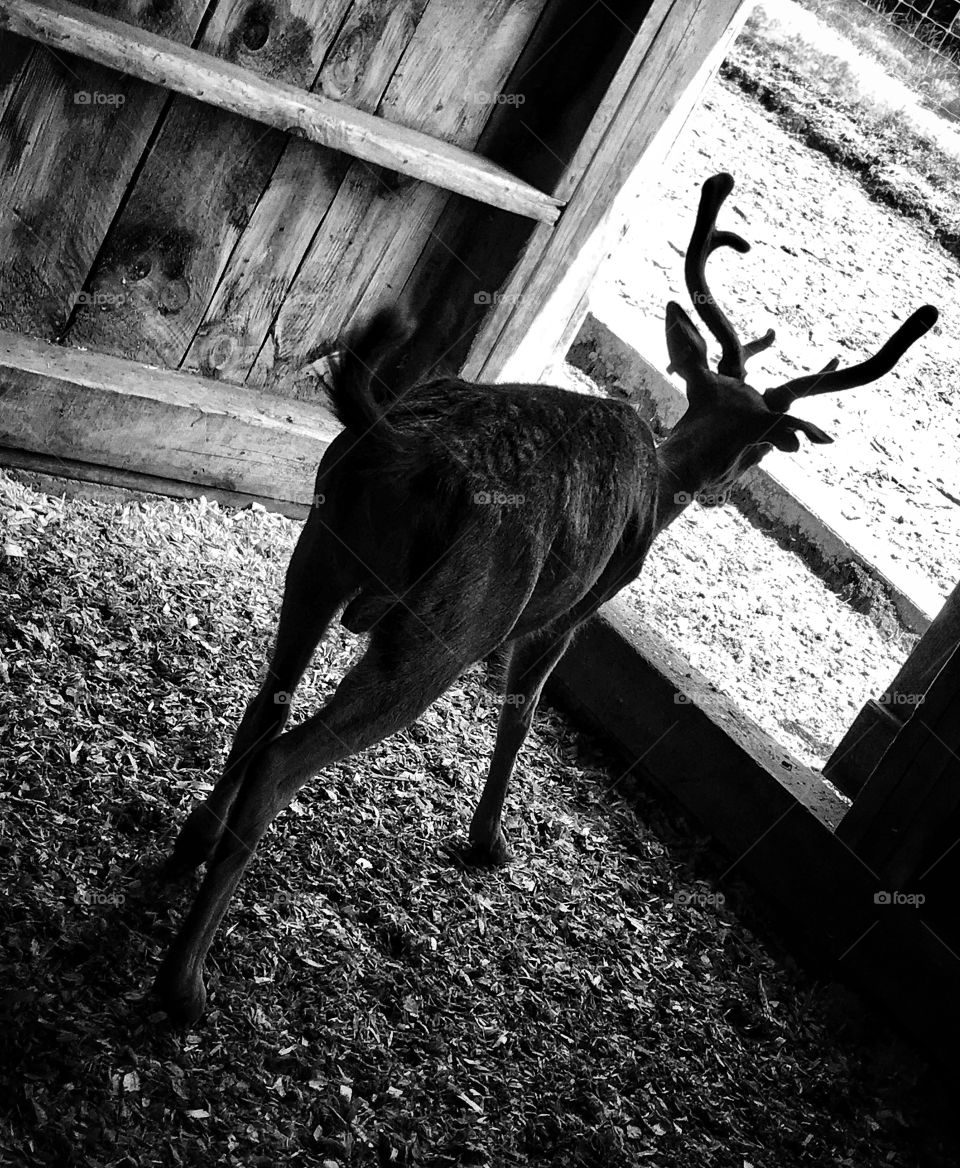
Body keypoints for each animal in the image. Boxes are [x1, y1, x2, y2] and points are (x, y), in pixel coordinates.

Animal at [151, 172, 938, 1023]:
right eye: (764, 444)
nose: (725, 488)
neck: (663, 483)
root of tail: (399, 445)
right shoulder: (573, 613)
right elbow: (522, 713)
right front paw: (490, 840)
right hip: (445, 627)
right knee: (285, 757)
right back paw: (185, 982)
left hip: (320, 549)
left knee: (266, 704)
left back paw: (187, 847)